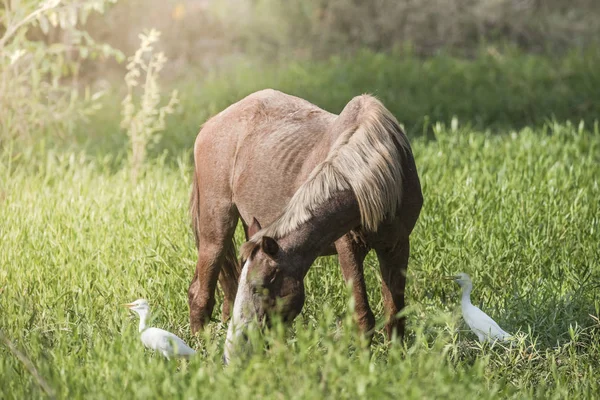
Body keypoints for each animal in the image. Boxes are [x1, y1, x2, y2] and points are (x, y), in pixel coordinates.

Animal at [188, 88, 422, 360]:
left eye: (258, 288)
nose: (235, 349)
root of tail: (209, 125)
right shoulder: (348, 247)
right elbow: (363, 316)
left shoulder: (397, 245)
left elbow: (395, 314)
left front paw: (396, 361)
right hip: (216, 229)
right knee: (200, 295)